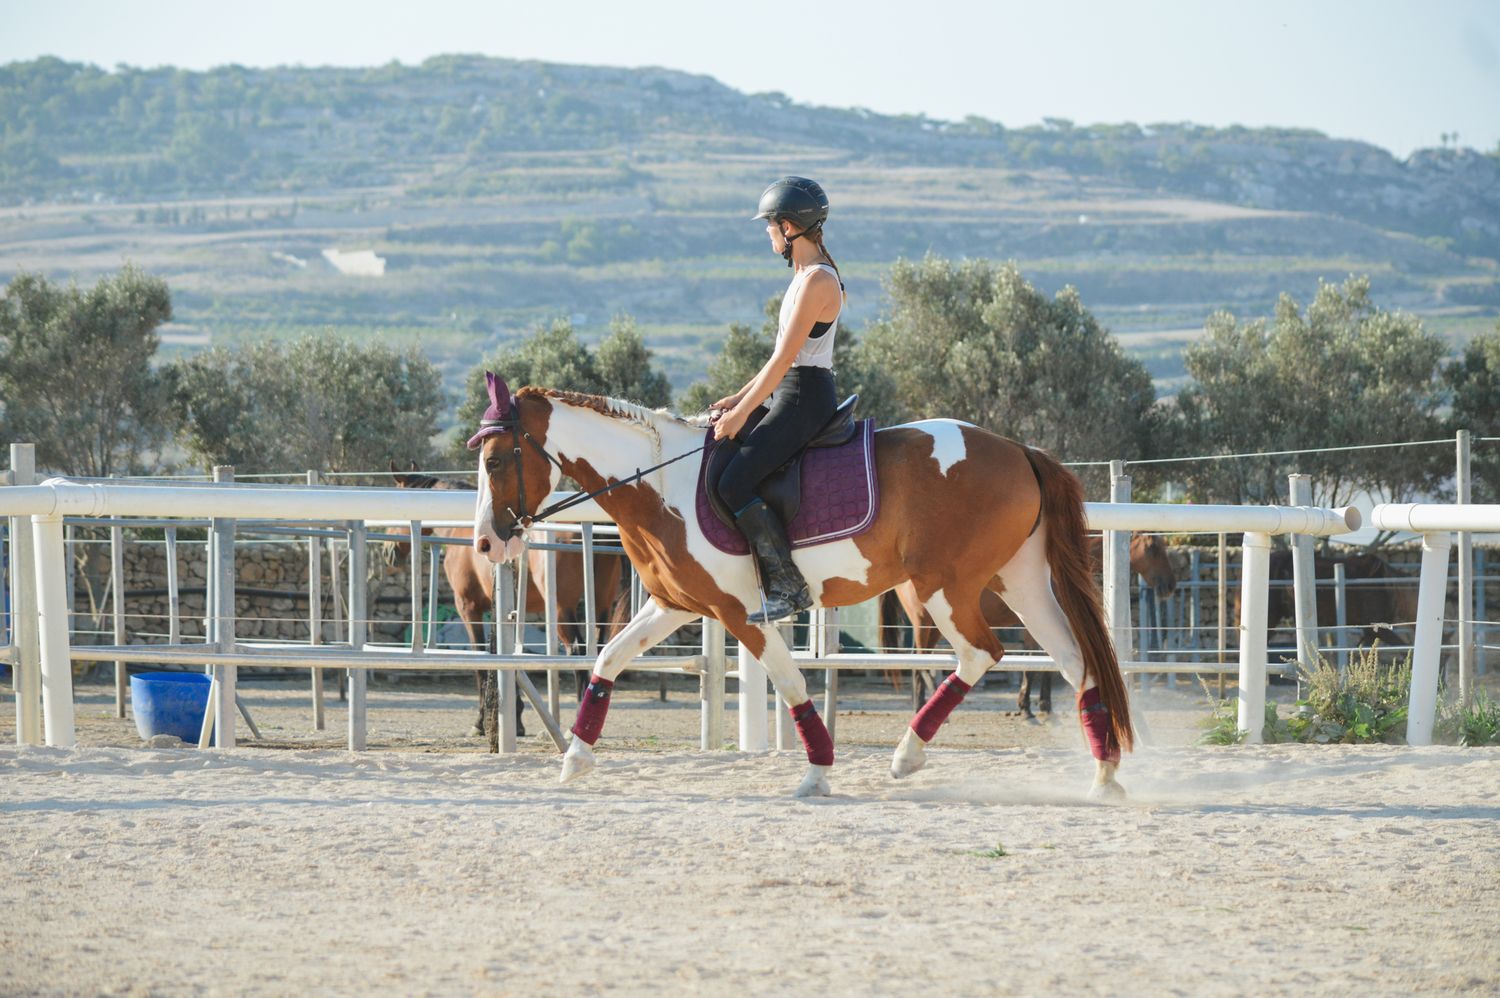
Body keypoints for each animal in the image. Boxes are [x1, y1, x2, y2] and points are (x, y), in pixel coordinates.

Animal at [390, 466, 626, 737]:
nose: (390, 552)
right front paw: (516, 718)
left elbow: (481, 659)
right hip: (601, 606)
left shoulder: (469, 608)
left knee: (576, 651)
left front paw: (481, 722)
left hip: (561, 610)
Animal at [468, 375, 1133, 799]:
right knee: (1076, 662)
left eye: (496, 461)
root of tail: (1020, 450)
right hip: (1020, 580)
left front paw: (816, 774)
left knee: (981, 654)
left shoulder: (742, 613)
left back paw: (907, 755)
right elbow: (609, 657)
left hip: (946, 586)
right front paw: (575, 759)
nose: (486, 545)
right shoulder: (676, 605)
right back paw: (1104, 775)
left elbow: (790, 684)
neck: (662, 483)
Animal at [884, 533, 1177, 717]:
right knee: (920, 662)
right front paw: (1027, 706)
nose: (1170, 586)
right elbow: (1034, 665)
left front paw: (1042, 704)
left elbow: (1043, 665)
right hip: (926, 624)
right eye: (1153, 548)